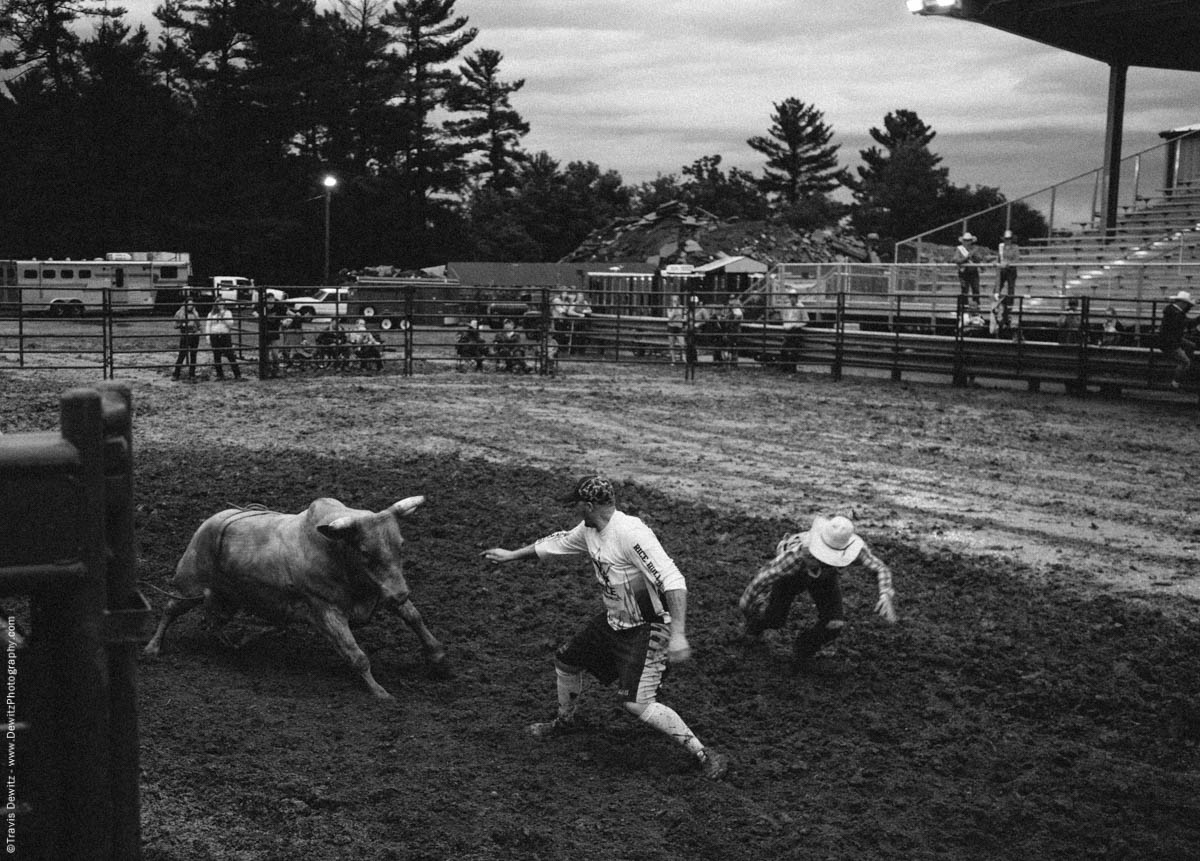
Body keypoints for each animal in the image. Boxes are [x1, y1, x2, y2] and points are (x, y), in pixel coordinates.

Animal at [142, 496, 448, 700]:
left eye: (401, 544)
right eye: (365, 552)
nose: (400, 594)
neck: (336, 552)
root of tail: (208, 523)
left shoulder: (381, 589)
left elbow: (414, 617)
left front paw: (438, 658)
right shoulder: (326, 610)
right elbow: (356, 655)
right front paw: (379, 692)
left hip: (228, 598)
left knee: (215, 621)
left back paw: (233, 645)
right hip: (190, 585)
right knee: (170, 609)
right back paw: (152, 648)